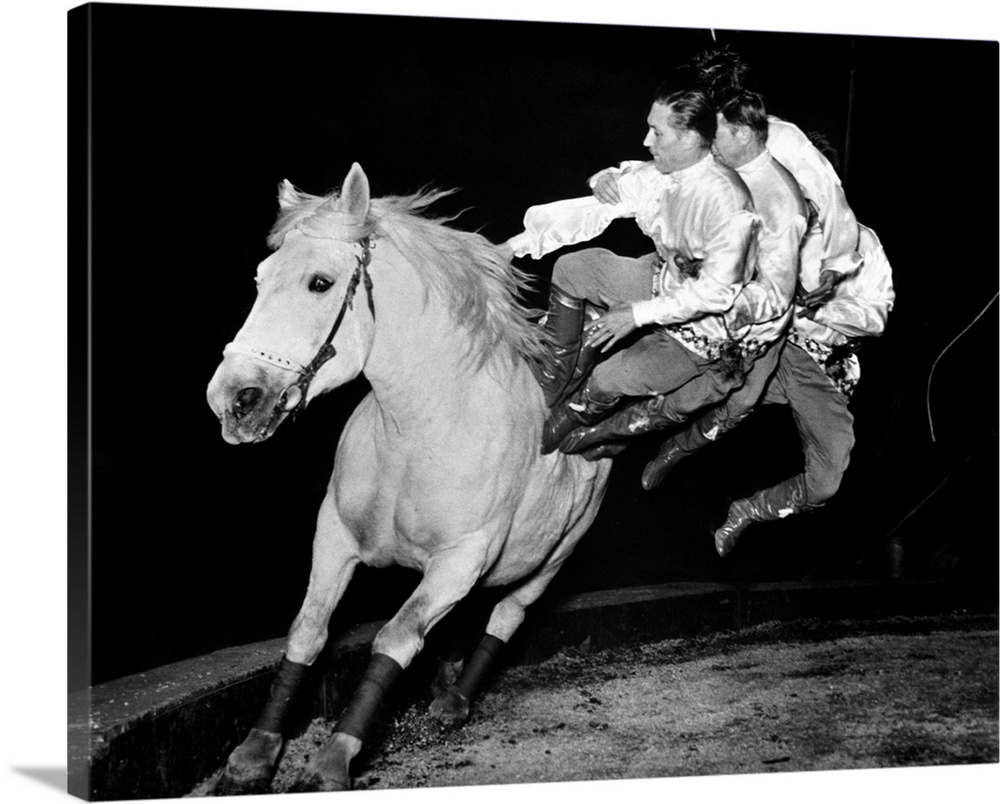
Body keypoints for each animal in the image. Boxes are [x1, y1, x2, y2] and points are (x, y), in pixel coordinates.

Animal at [205, 163, 608, 792]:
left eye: (319, 283)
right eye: (260, 278)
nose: (232, 400)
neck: (417, 428)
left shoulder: (459, 562)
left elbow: (395, 638)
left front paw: (334, 757)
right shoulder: (335, 535)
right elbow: (307, 631)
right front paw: (256, 751)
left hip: (555, 559)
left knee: (506, 616)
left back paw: (455, 702)